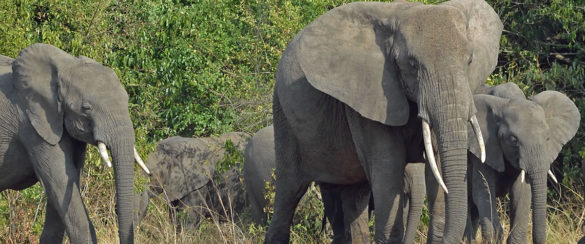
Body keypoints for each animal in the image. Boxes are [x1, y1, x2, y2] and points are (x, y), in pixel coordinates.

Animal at [0, 44, 148, 244]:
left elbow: (67, 184)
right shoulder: (31, 123)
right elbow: (61, 181)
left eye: (127, 101)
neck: (66, 63)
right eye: (86, 108)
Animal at [266, 0, 500, 242]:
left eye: (470, 60)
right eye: (412, 64)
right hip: (283, 113)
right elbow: (387, 171)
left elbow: (437, 164)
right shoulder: (367, 98)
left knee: (353, 198)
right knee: (289, 192)